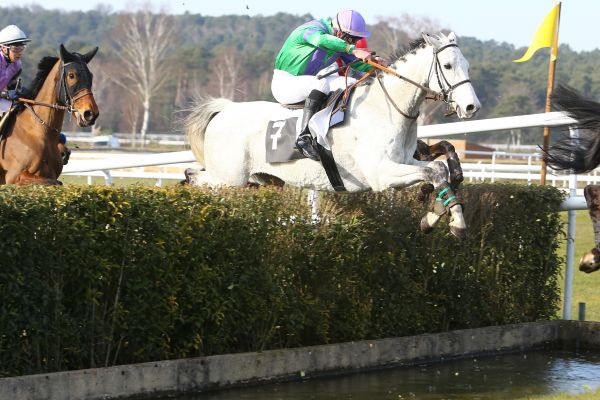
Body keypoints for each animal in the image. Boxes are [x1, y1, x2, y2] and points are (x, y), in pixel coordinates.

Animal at [0, 43, 98, 184]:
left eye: (91, 76)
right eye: (71, 75)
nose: (90, 113)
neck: (38, 132)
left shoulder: (51, 174)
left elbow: (57, 182)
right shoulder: (15, 177)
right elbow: (52, 183)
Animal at [185, 32, 480, 238]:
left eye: (467, 65)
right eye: (448, 65)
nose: (471, 107)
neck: (386, 106)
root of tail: (225, 109)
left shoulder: (404, 161)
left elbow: (438, 168)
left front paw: (439, 215)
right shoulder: (381, 174)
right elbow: (433, 170)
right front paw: (451, 221)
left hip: (260, 180)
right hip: (228, 178)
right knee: (196, 177)